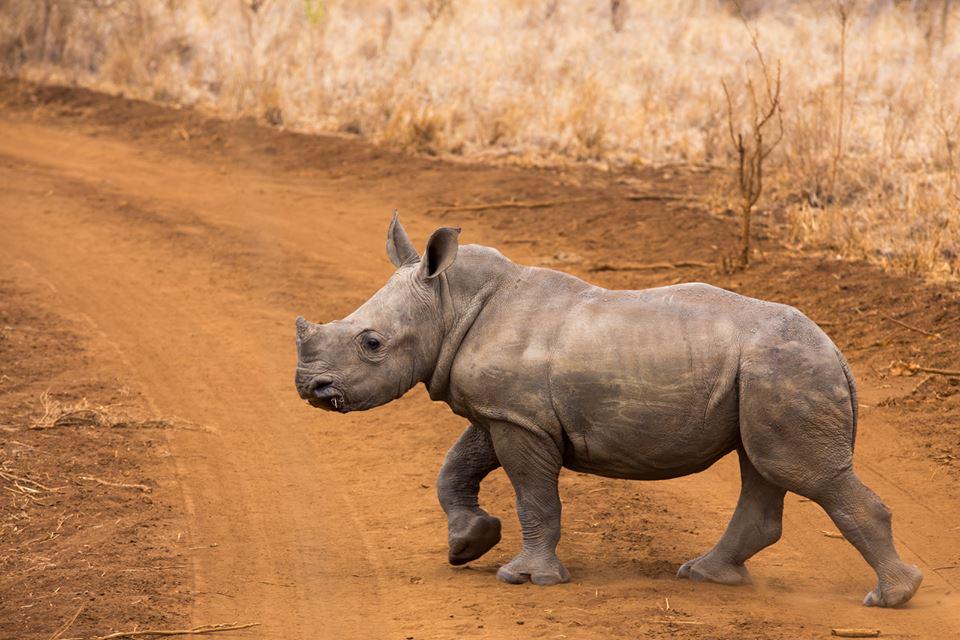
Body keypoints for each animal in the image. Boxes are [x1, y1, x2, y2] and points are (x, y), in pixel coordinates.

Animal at [294, 214, 922, 607]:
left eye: (372, 343)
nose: (309, 388)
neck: (450, 303)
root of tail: (837, 351)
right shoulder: (502, 412)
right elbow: (453, 470)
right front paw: (468, 544)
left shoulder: (519, 420)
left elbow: (534, 496)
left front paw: (526, 578)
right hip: (768, 374)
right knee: (762, 468)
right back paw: (706, 576)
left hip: (784, 369)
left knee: (800, 471)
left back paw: (890, 598)